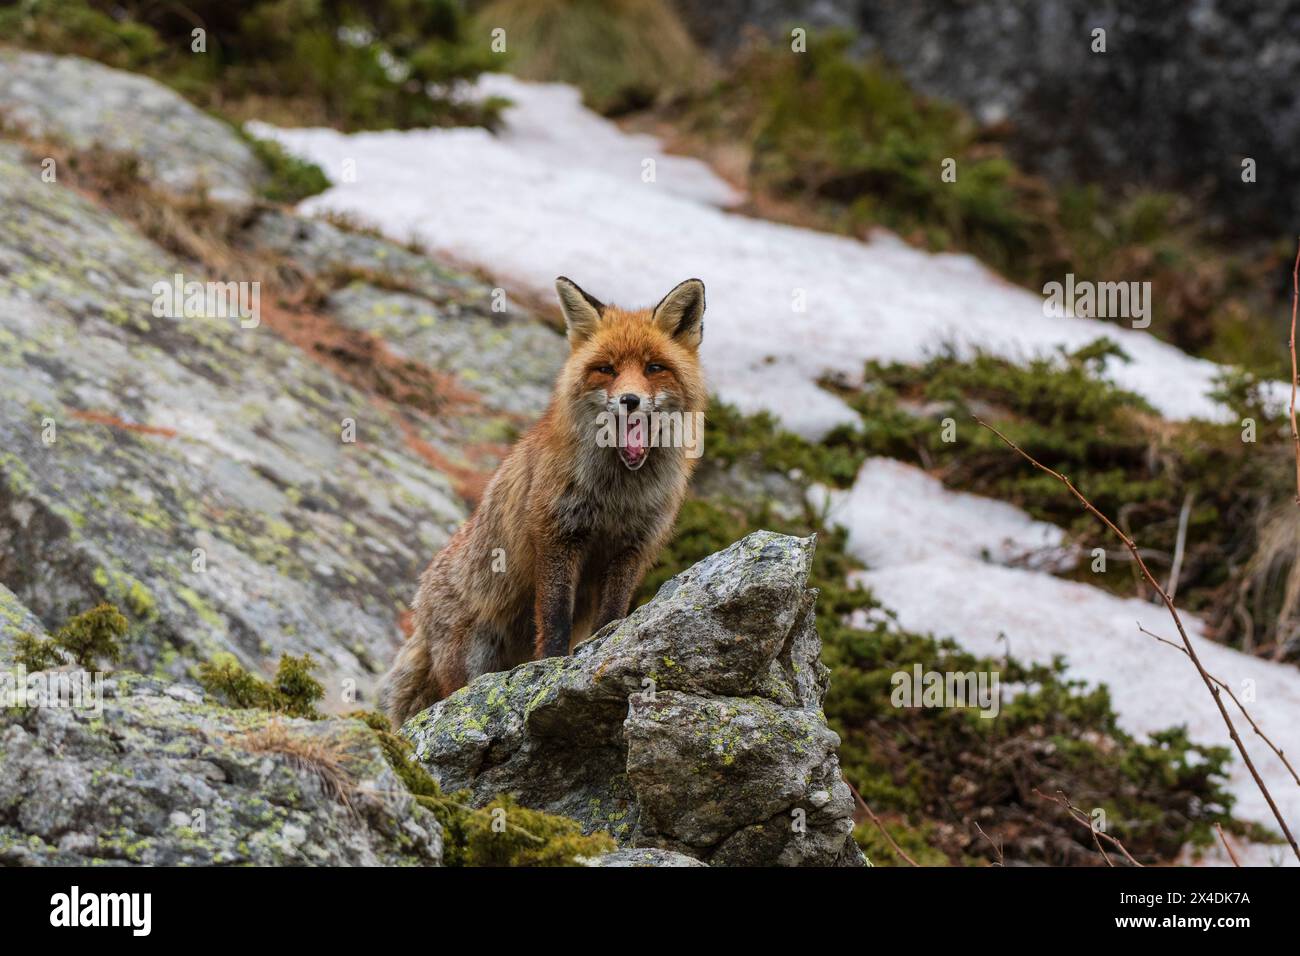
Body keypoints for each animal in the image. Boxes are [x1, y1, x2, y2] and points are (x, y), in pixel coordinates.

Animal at [382, 277, 712, 723]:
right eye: (606, 369)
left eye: (654, 367)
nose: (629, 400)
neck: (617, 495)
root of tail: (419, 606)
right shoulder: (558, 533)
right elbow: (555, 617)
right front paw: (550, 668)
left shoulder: (633, 546)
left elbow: (611, 615)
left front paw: (603, 646)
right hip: (470, 658)